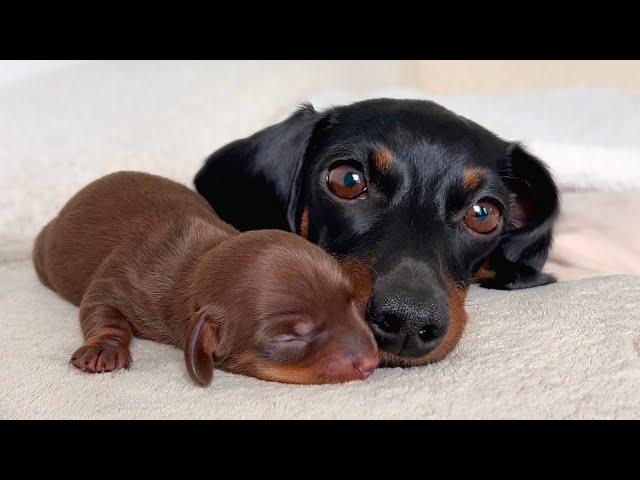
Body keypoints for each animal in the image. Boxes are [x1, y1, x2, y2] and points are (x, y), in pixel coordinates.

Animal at [32, 172, 378, 386]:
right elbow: (101, 309)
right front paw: (103, 349)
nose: (371, 362)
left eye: (351, 304)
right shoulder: (121, 281)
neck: (203, 256)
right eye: (289, 338)